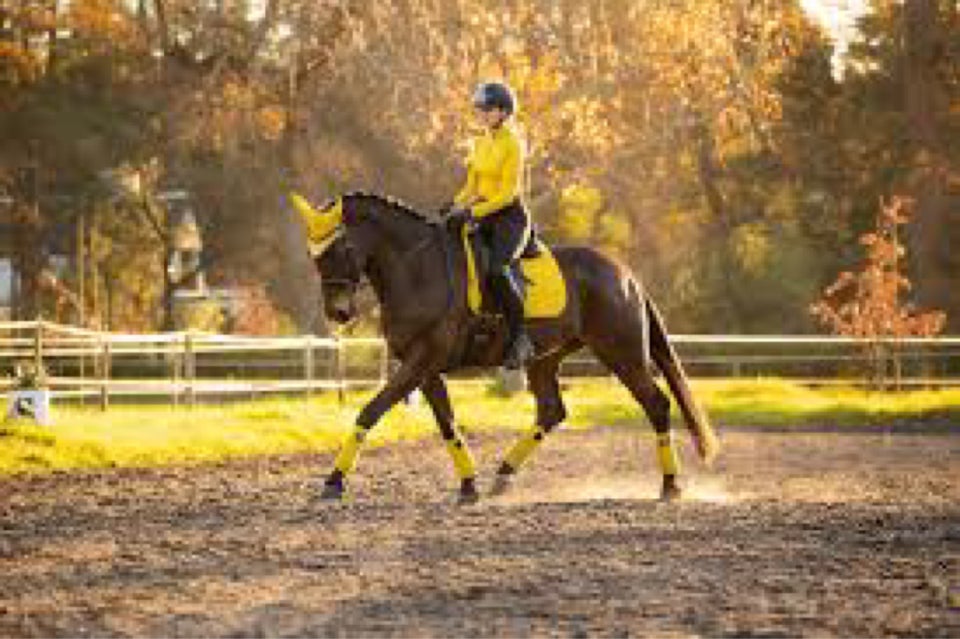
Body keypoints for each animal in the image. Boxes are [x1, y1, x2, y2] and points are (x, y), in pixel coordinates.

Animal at [292, 191, 720, 504]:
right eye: (314, 255)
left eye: (339, 249)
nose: (338, 313)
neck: (416, 269)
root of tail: (625, 274)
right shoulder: (423, 367)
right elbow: (447, 425)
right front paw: (469, 486)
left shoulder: (421, 360)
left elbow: (371, 410)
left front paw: (333, 482)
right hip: (545, 358)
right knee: (551, 410)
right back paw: (503, 476)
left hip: (622, 353)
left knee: (656, 404)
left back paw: (670, 486)